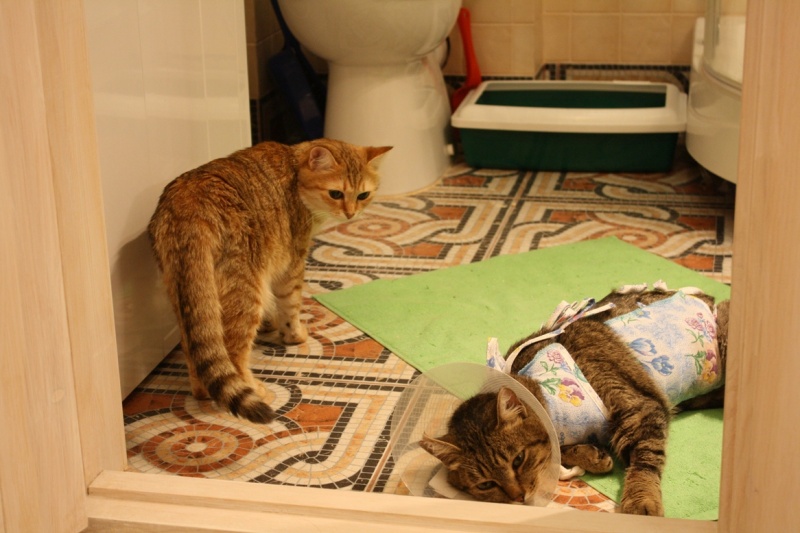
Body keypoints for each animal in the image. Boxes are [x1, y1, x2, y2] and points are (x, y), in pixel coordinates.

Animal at [148, 139, 391, 423]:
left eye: (363, 195)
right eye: (335, 193)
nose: (351, 214)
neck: (294, 171)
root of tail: (188, 203)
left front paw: (271, 324)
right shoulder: (292, 263)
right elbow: (290, 305)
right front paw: (293, 335)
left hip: (188, 295)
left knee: (195, 352)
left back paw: (202, 391)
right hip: (244, 292)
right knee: (233, 353)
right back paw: (254, 388)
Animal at [420, 285, 729, 515]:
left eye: (518, 460)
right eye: (486, 485)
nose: (518, 498)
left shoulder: (640, 409)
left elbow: (645, 460)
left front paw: (641, 500)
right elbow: (563, 449)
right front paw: (591, 455)